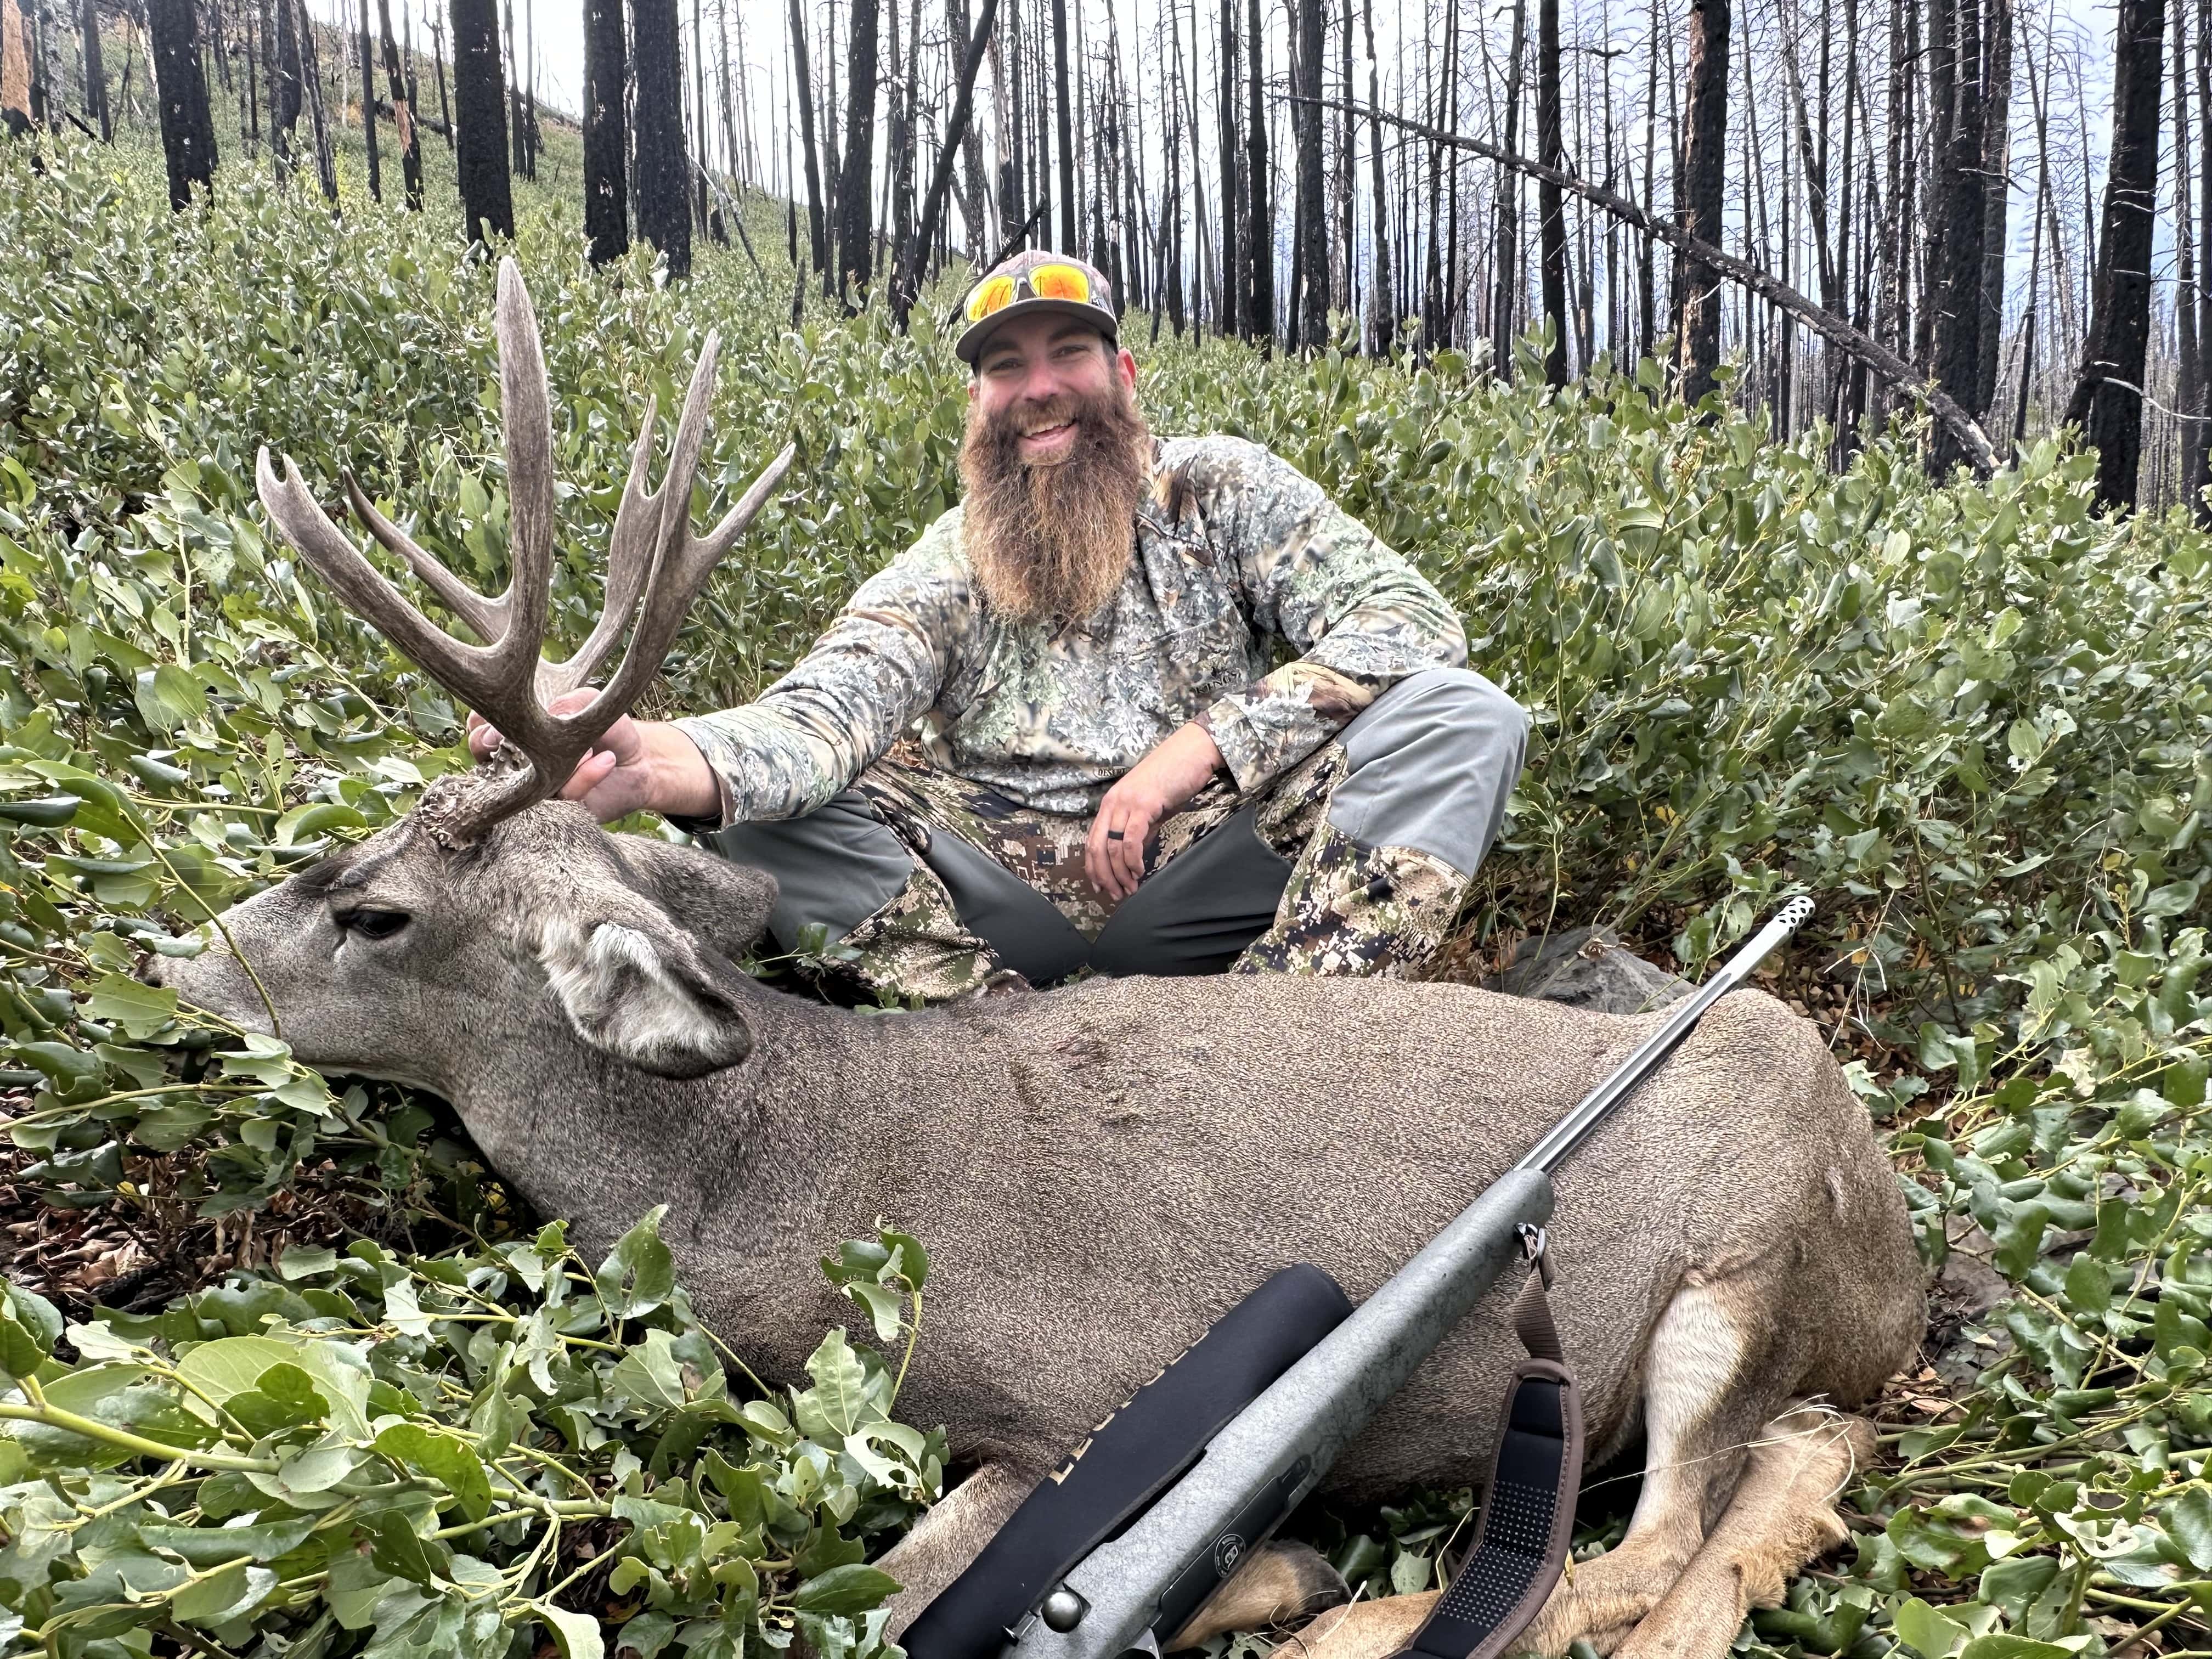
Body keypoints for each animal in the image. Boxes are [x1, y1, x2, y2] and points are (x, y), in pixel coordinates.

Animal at [159, 260, 1926, 1659]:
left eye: (374, 910)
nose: (180, 956)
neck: (794, 1174)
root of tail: (1906, 1254)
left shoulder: (1074, 1397)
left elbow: (883, 1601)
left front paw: (1269, 1573)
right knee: (1781, 1484)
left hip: (1740, 1259)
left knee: (1658, 1545)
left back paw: (1342, 1619)